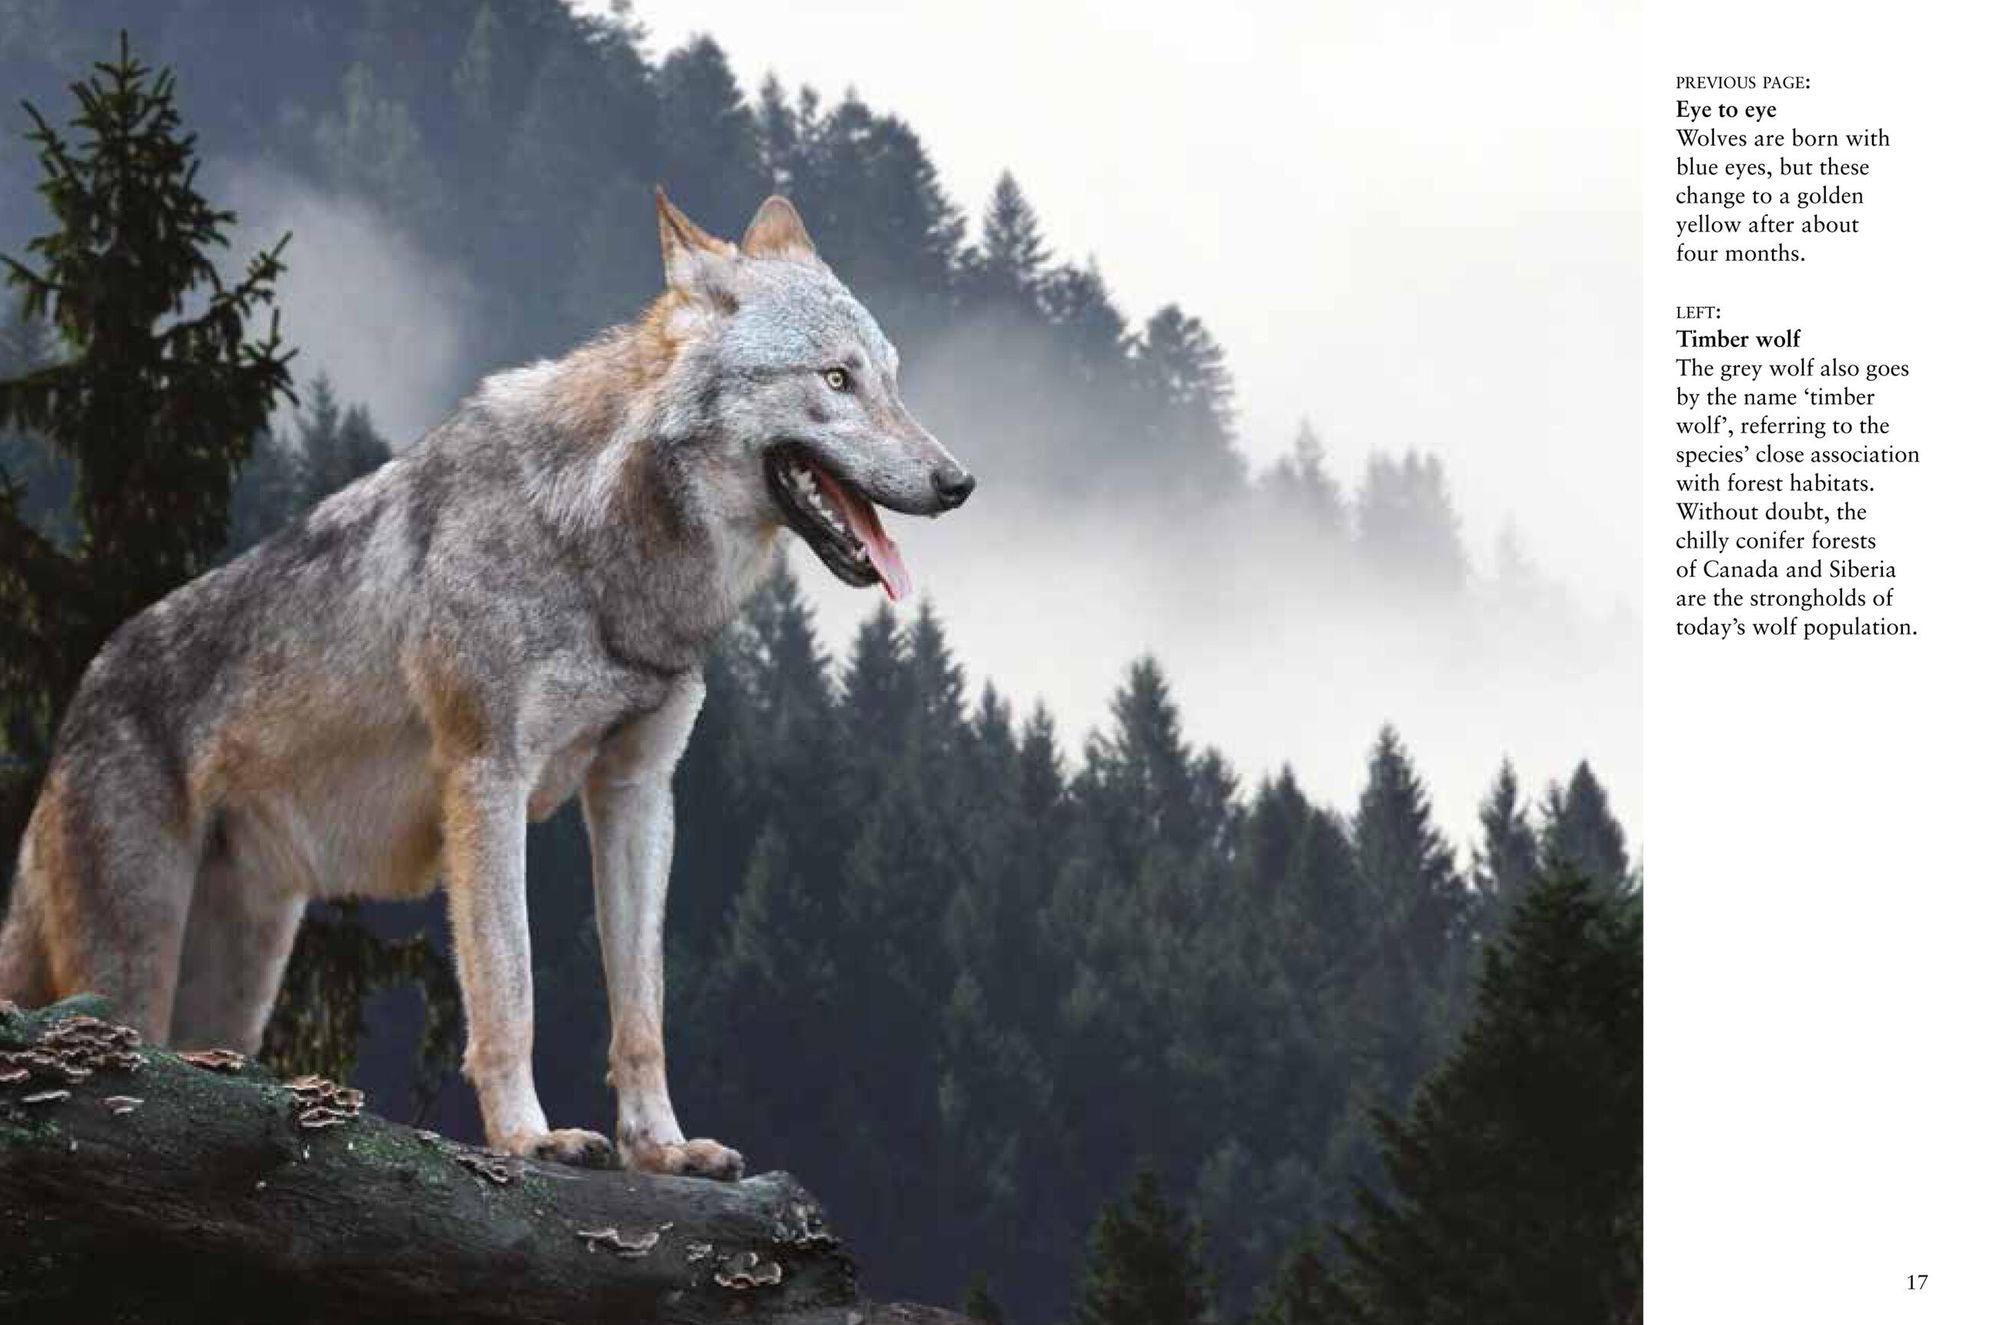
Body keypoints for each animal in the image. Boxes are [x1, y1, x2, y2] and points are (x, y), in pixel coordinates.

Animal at [0, 190, 973, 1176]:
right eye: (836, 378)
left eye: (892, 380)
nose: (959, 481)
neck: (601, 549)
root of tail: (83, 691)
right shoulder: (487, 776)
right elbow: (510, 989)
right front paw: (530, 1137)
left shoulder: (637, 792)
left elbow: (642, 1011)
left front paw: (662, 1148)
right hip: (133, 969)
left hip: (236, 986)